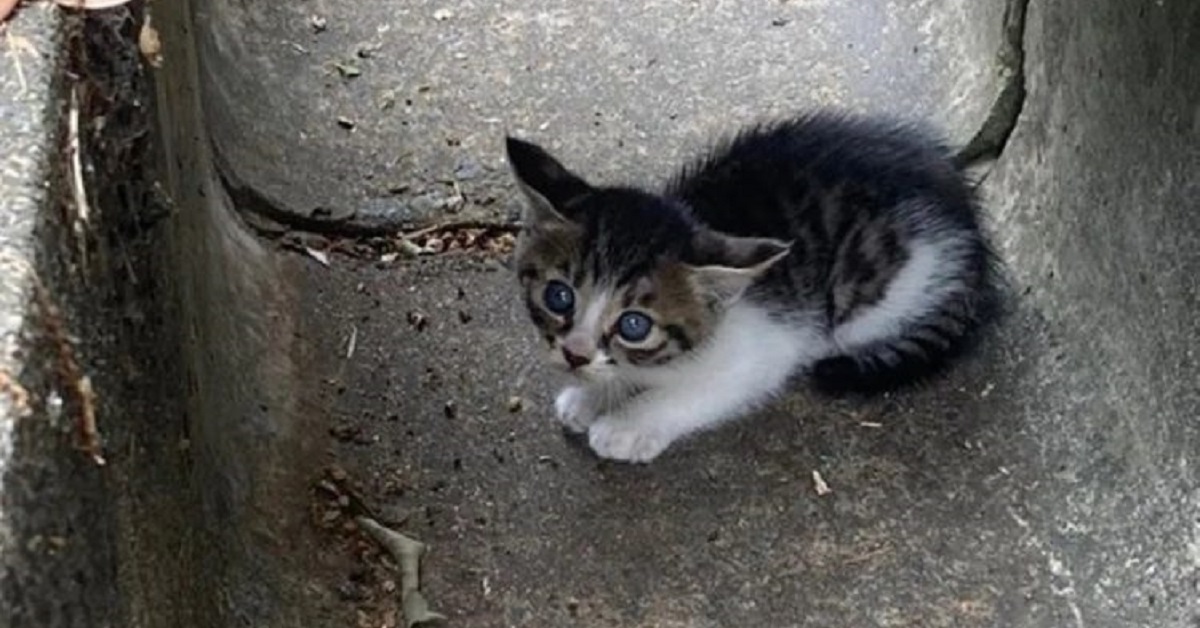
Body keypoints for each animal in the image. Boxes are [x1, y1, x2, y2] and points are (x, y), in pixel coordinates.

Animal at [504, 112, 993, 463]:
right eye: (559, 296)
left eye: (634, 325)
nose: (575, 355)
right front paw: (590, 397)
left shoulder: (763, 349)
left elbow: (696, 391)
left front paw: (627, 424)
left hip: (883, 294)